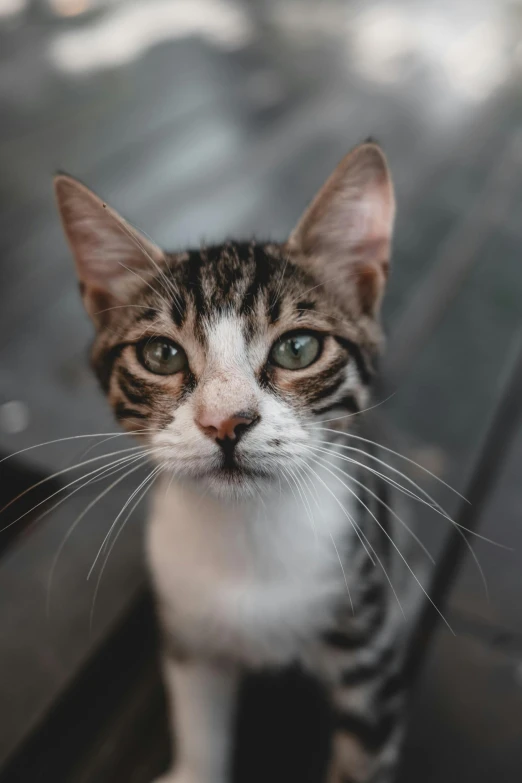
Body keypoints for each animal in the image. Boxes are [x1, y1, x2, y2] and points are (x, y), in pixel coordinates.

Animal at [55, 142, 406, 783]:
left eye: (298, 347)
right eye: (161, 354)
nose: (225, 422)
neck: (248, 533)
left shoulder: (369, 647)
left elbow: (363, 753)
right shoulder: (187, 626)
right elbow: (199, 718)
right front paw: (194, 767)